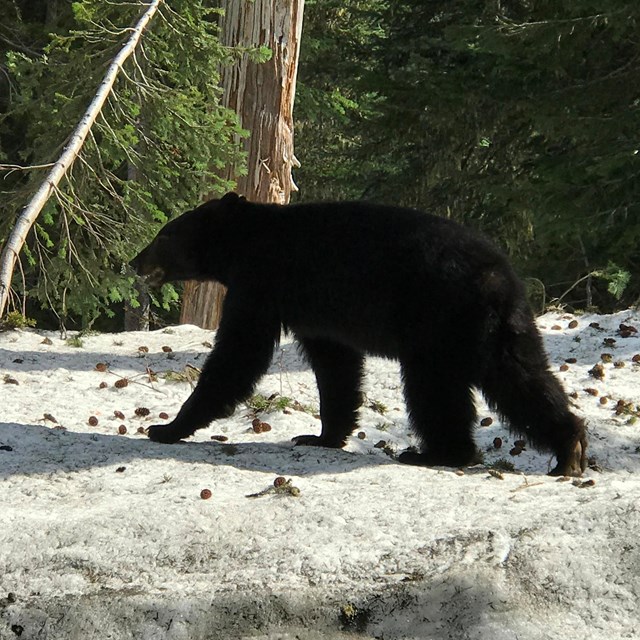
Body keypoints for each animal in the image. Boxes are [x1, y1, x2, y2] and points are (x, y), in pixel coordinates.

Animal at [132, 192, 588, 478]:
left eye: (164, 234)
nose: (135, 261)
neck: (246, 243)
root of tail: (498, 275)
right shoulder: (314, 313)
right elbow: (336, 366)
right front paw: (322, 436)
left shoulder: (261, 283)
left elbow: (239, 354)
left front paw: (167, 428)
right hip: (497, 328)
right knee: (521, 375)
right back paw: (570, 447)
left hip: (436, 321)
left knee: (434, 388)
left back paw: (434, 453)